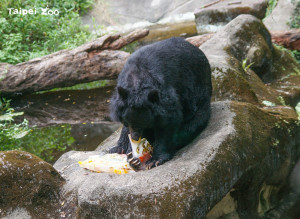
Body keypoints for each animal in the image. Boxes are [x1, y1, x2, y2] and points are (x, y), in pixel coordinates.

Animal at [108, 36, 211, 170]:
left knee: (193, 123)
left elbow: (168, 124)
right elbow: (125, 128)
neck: (137, 81)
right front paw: (131, 157)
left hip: (200, 97)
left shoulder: (167, 97)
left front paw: (154, 159)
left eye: (144, 124)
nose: (136, 137)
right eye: (128, 122)